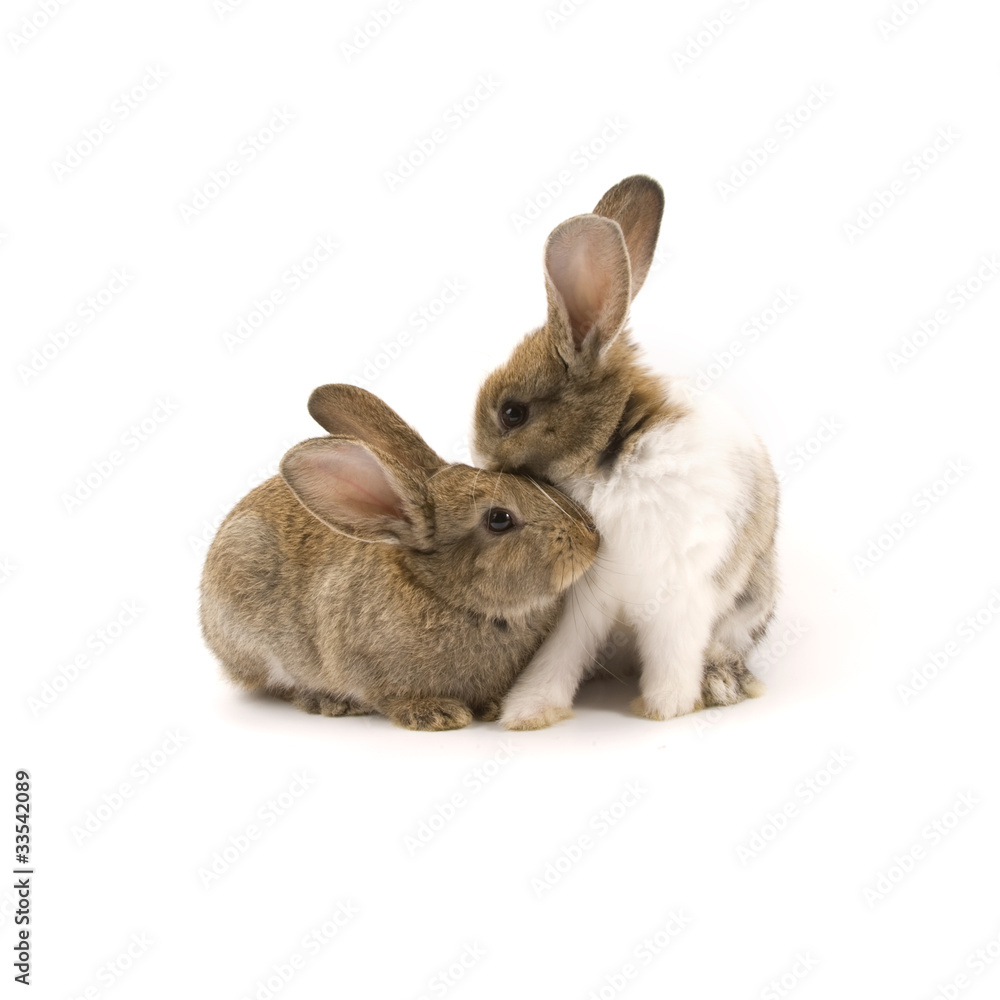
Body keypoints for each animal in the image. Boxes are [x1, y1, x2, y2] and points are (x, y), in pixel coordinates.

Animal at [200, 384, 598, 731]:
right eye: (499, 519)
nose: (590, 538)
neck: (447, 595)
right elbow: (391, 697)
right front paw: (435, 715)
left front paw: (489, 707)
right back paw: (328, 701)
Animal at [471, 175, 779, 730]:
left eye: (512, 413)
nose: (480, 458)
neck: (609, 455)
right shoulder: (583, 599)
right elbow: (559, 655)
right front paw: (529, 711)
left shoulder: (680, 593)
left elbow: (674, 654)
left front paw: (665, 708)